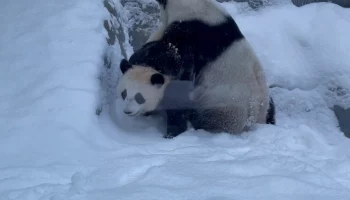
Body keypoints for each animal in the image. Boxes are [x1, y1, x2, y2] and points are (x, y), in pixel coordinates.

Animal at [117, 0, 276, 138]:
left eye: (139, 97)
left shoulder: (192, 35)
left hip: (223, 108)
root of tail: (253, 123)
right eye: (123, 94)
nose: (128, 111)